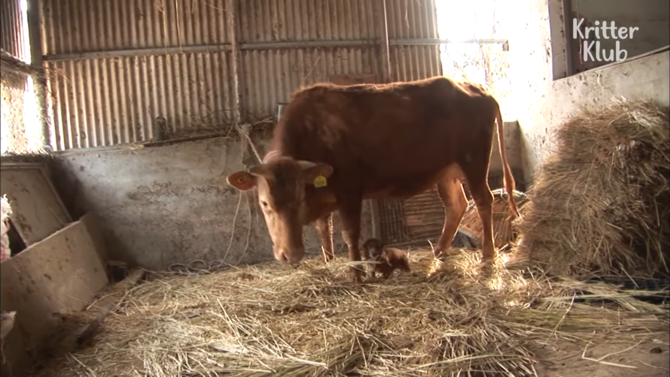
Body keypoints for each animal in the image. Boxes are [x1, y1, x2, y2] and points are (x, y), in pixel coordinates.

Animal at [228, 75, 524, 282]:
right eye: (265, 203)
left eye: (299, 199)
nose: (290, 255)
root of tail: (475, 88)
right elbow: (324, 229)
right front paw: (327, 262)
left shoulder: (349, 189)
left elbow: (349, 232)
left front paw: (355, 273)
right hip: (446, 171)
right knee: (456, 205)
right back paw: (438, 252)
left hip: (474, 161)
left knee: (483, 201)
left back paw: (487, 255)